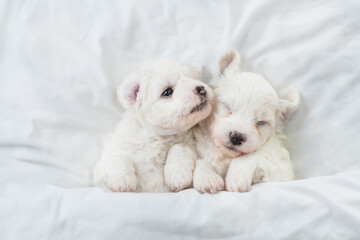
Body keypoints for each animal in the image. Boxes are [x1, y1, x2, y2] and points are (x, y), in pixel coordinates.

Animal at [94, 60, 215, 193]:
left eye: (195, 79)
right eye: (167, 92)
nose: (200, 88)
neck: (158, 138)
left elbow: (179, 146)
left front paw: (177, 175)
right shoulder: (102, 167)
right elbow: (117, 157)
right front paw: (123, 181)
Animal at [193, 48, 300, 193]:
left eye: (261, 123)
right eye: (228, 107)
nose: (237, 137)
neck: (226, 155)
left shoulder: (279, 167)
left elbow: (252, 154)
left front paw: (236, 178)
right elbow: (202, 160)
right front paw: (207, 178)